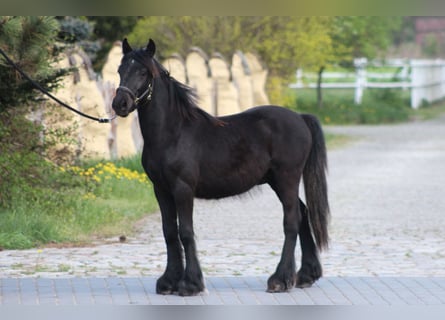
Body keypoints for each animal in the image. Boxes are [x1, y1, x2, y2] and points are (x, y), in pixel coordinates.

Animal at [112, 38, 326, 296]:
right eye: (120, 70)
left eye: (143, 72)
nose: (120, 104)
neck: (173, 133)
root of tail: (300, 118)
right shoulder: (161, 190)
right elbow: (169, 232)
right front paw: (168, 281)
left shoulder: (183, 189)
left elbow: (185, 232)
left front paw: (190, 284)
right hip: (277, 182)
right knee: (303, 214)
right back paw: (305, 275)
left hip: (287, 179)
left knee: (292, 221)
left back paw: (279, 279)